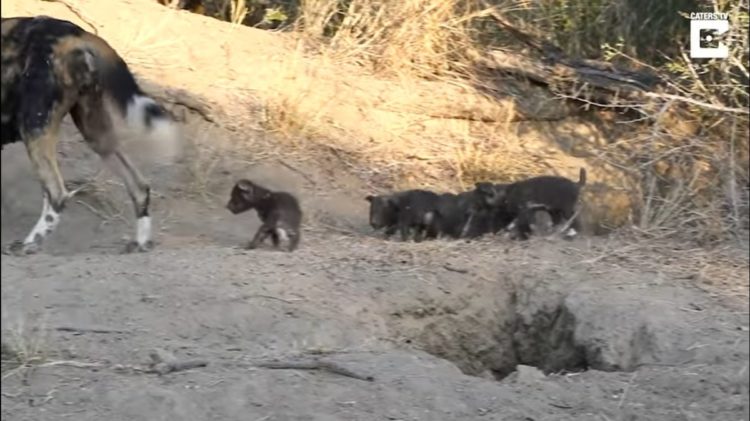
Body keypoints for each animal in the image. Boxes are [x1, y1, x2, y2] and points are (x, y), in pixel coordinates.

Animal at [0, 16, 182, 254]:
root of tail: (78, 33)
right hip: (96, 136)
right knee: (139, 186)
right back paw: (140, 243)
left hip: (34, 125)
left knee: (56, 192)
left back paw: (29, 244)